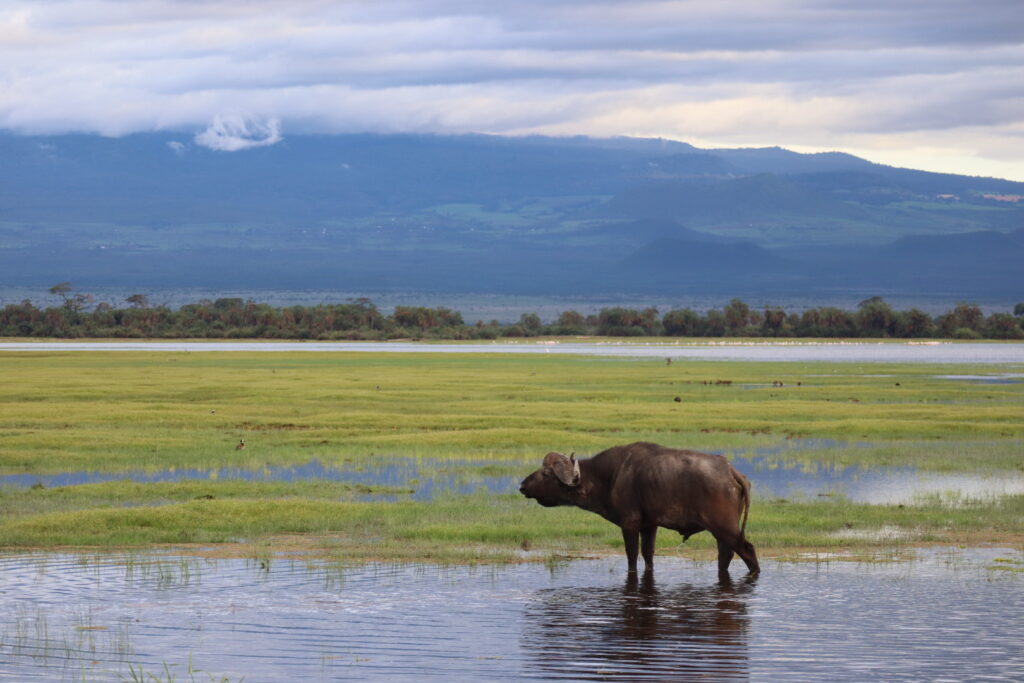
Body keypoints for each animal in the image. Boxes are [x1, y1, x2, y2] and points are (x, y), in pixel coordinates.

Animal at [524, 440, 757, 581]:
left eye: (546, 473)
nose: (522, 485)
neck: (609, 477)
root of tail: (729, 470)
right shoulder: (649, 526)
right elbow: (648, 555)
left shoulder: (630, 524)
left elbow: (632, 555)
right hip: (720, 532)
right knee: (725, 554)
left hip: (725, 527)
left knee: (747, 550)